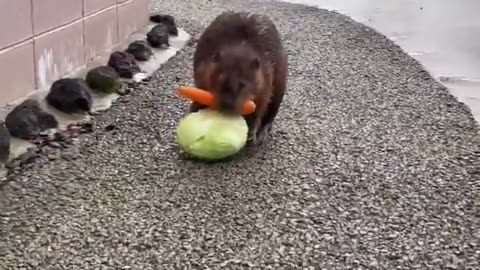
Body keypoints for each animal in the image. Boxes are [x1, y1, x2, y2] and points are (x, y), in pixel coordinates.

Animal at [191, 11, 288, 146]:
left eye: (243, 84)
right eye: (220, 80)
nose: (227, 105)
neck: (241, 46)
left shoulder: (265, 76)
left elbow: (261, 104)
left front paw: (252, 133)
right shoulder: (203, 68)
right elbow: (200, 88)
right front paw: (194, 107)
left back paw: (263, 133)